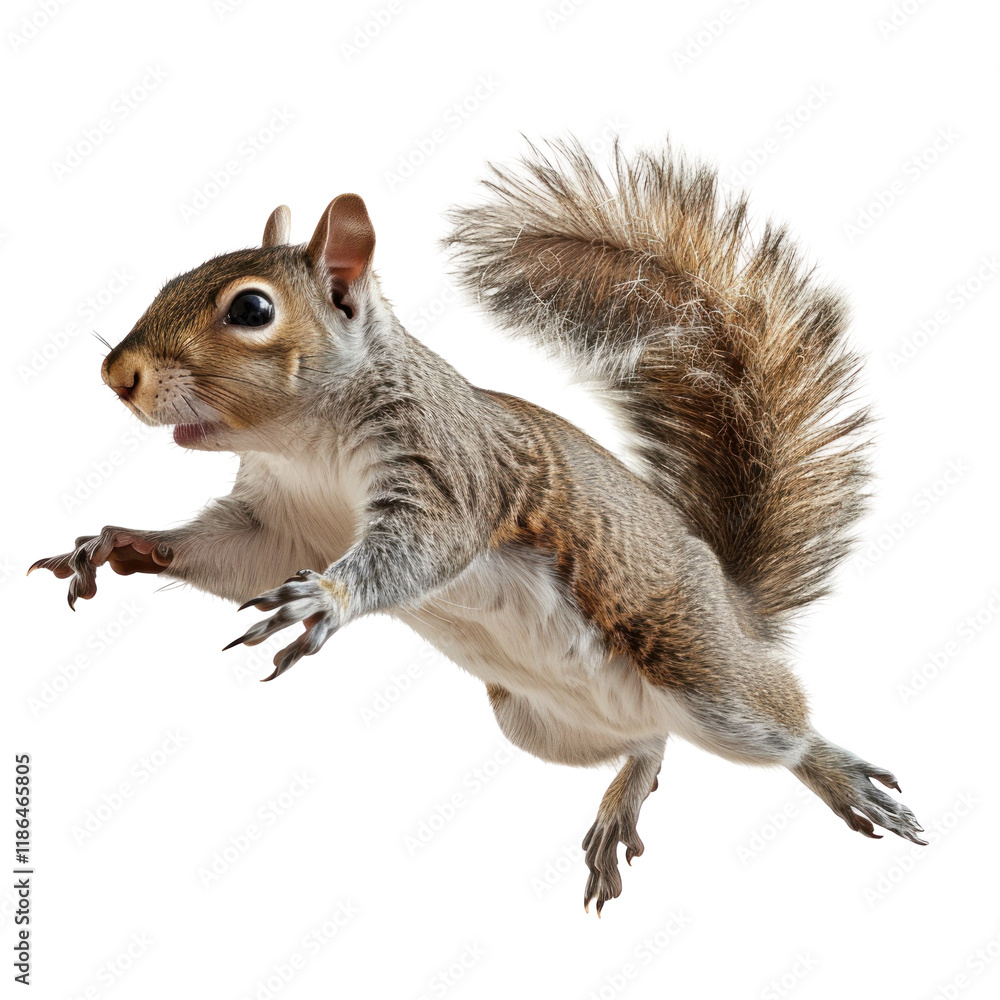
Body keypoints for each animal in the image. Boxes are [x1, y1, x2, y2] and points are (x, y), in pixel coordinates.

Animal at [31, 138, 925, 914]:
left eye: (251, 308)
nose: (117, 374)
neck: (304, 446)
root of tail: (732, 603)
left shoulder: (447, 470)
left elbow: (421, 545)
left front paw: (323, 601)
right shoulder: (276, 521)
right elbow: (227, 552)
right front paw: (116, 543)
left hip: (703, 672)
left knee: (776, 724)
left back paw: (840, 776)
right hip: (537, 722)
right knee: (648, 740)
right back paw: (626, 795)